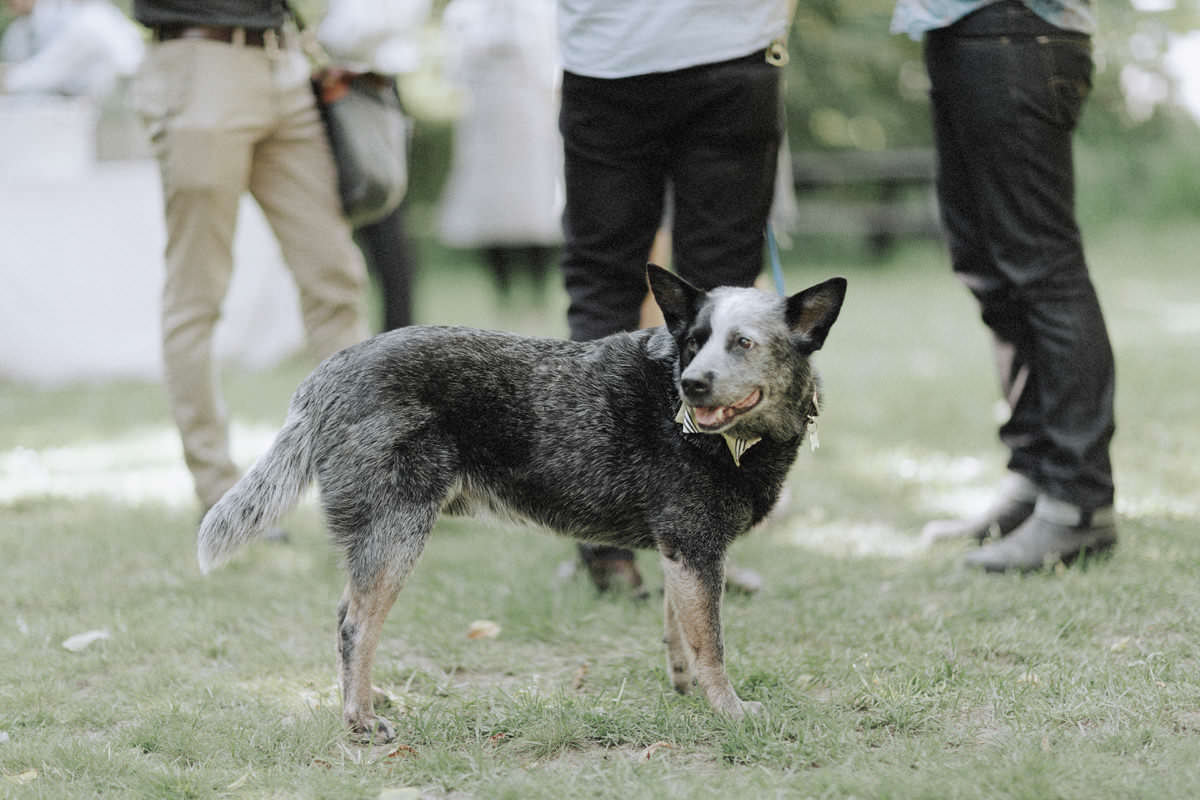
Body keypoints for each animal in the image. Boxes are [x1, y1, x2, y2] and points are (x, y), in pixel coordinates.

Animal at [199, 263, 844, 743]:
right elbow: (712, 645)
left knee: (347, 619)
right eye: (693, 343)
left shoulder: (682, 552)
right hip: (397, 532)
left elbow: (680, 633)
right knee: (355, 623)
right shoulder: (696, 549)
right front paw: (730, 711)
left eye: (743, 343)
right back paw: (359, 718)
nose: (693, 385)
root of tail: (324, 378)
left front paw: (686, 695)